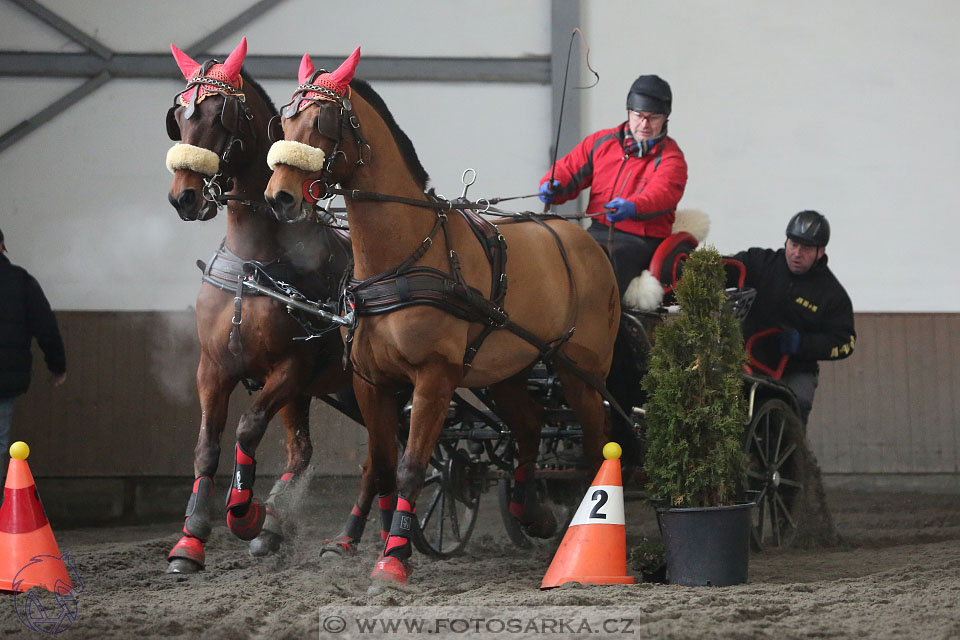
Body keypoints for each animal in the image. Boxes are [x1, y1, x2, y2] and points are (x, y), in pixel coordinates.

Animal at [163, 37, 380, 572]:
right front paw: (191, 538)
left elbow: (246, 429)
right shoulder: (213, 366)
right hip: (332, 389)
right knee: (304, 451)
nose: (184, 197)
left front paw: (246, 514)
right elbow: (206, 447)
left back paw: (345, 536)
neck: (254, 261)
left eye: (220, 114)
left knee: (385, 455)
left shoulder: (291, 367)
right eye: (178, 114)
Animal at [264, 48, 624, 584]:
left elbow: (412, 465)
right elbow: (380, 465)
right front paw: (364, 542)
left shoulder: (433, 377)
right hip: (506, 370)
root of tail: (583, 240)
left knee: (596, 440)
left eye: (324, 122)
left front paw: (393, 556)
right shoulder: (371, 382)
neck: (404, 257)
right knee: (531, 425)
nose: (279, 196)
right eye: (286, 119)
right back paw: (531, 513)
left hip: (581, 371)